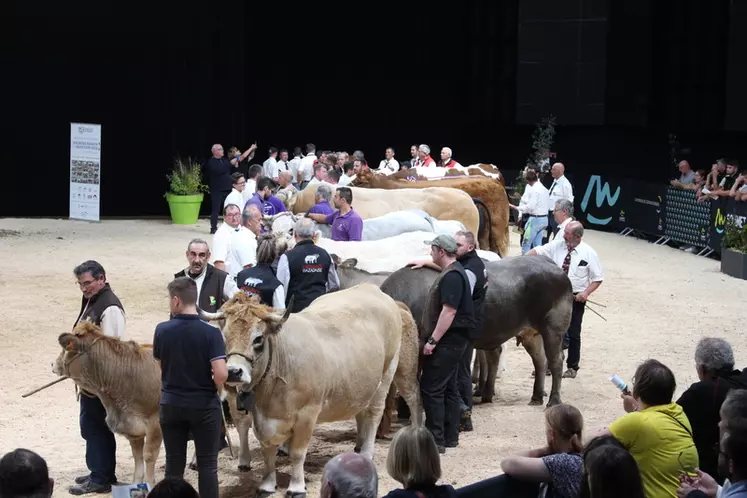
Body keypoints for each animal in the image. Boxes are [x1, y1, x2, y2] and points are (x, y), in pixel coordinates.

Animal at [53, 320, 164, 484]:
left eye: (65, 349)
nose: (54, 364)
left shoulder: (155, 423)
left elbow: (148, 457)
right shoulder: (133, 428)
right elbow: (137, 459)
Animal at [199, 286, 420, 498]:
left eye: (258, 339)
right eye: (224, 336)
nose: (233, 371)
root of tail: (375, 290)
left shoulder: (308, 414)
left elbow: (297, 453)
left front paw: (296, 487)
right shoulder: (262, 419)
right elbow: (267, 449)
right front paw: (267, 484)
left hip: (388, 374)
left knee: (376, 412)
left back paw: (368, 452)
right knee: (361, 412)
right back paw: (359, 447)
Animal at [380, 255, 572, 406]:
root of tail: (551, 264)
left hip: (553, 331)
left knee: (556, 361)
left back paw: (553, 400)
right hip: (532, 334)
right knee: (539, 360)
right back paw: (535, 396)